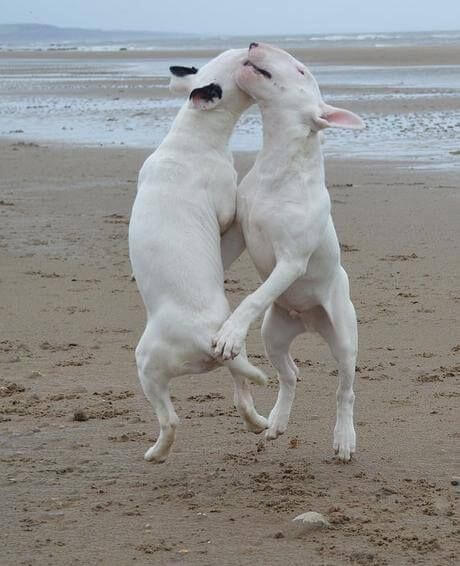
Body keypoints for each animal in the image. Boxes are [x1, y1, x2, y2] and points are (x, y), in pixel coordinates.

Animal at [127, 48, 268, 466]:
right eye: (241, 62)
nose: (251, 46)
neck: (192, 135)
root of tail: (202, 337)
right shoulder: (225, 210)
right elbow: (232, 213)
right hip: (149, 362)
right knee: (172, 419)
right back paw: (157, 453)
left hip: (220, 352)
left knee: (236, 399)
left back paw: (256, 424)